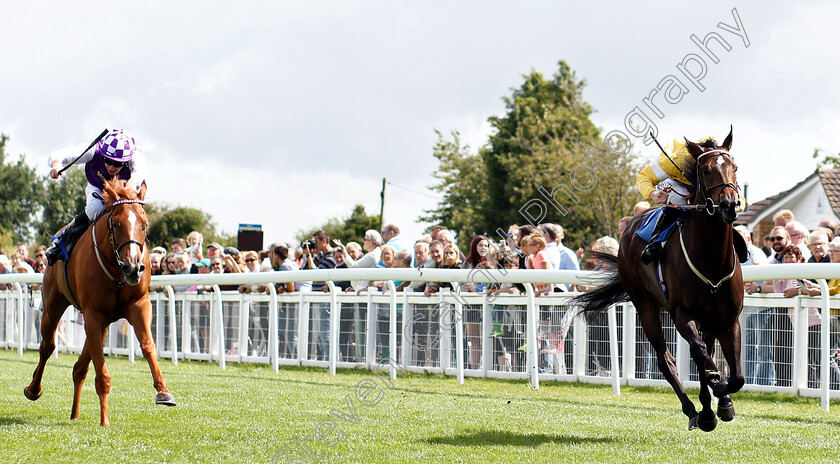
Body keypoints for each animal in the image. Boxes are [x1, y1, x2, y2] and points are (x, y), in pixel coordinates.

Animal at [25, 179, 175, 426]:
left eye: (144, 224)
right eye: (115, 223)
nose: (133, 267)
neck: (117, 270)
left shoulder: (139, 305)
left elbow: (148, 345)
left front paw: (163, 392)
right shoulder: (93, 313)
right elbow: (101, 370)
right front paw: (105, 419)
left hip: (102, 321)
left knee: (79, 367)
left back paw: (74, 414)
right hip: (54, 304)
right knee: (47, 346)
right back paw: (33, 389)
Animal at [576, 128, 744, 432]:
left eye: (734, 167)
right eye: (705, 169)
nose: (729, 204)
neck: (711, 260)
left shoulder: (729, 319)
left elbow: (735, 375)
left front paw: (723, 399)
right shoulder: (682, 314)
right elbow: (699, 354)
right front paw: (708, 408)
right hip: (646, 306)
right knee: (666, 360)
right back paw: (692, 409)